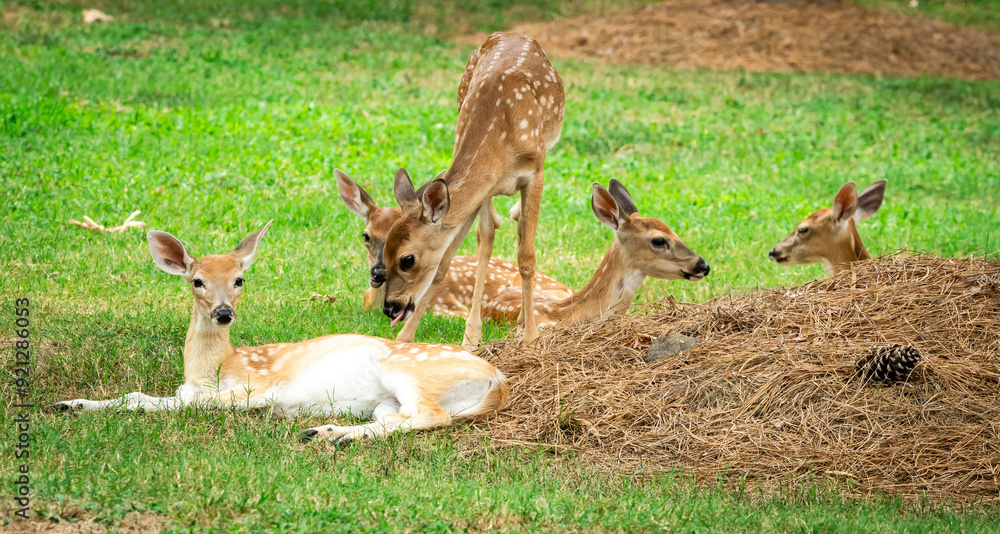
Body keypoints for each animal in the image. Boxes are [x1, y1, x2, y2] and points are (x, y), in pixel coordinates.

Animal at [52, 222, 510, 445]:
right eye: (197, 281)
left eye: (239, 279)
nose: (223, 313)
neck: (213, 368)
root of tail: (499, 382)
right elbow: (138, 396)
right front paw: (69, 404)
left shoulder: (256, 389)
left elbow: (180, 406)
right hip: (388, 400)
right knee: (402, 418)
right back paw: (327, 433)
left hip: (409, 370)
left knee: (433, 416)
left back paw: (329, 434)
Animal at [377, 32, 565, 350]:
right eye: (385, 249)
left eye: (407, 259)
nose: (390, 307)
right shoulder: (479, 189)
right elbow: (446, 261)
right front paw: (405, 336)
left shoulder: (535, 173)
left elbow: (526, 259)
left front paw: (530, 339)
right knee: (487, 237)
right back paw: (474, 334)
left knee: (517, 234)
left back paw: (520, 323)